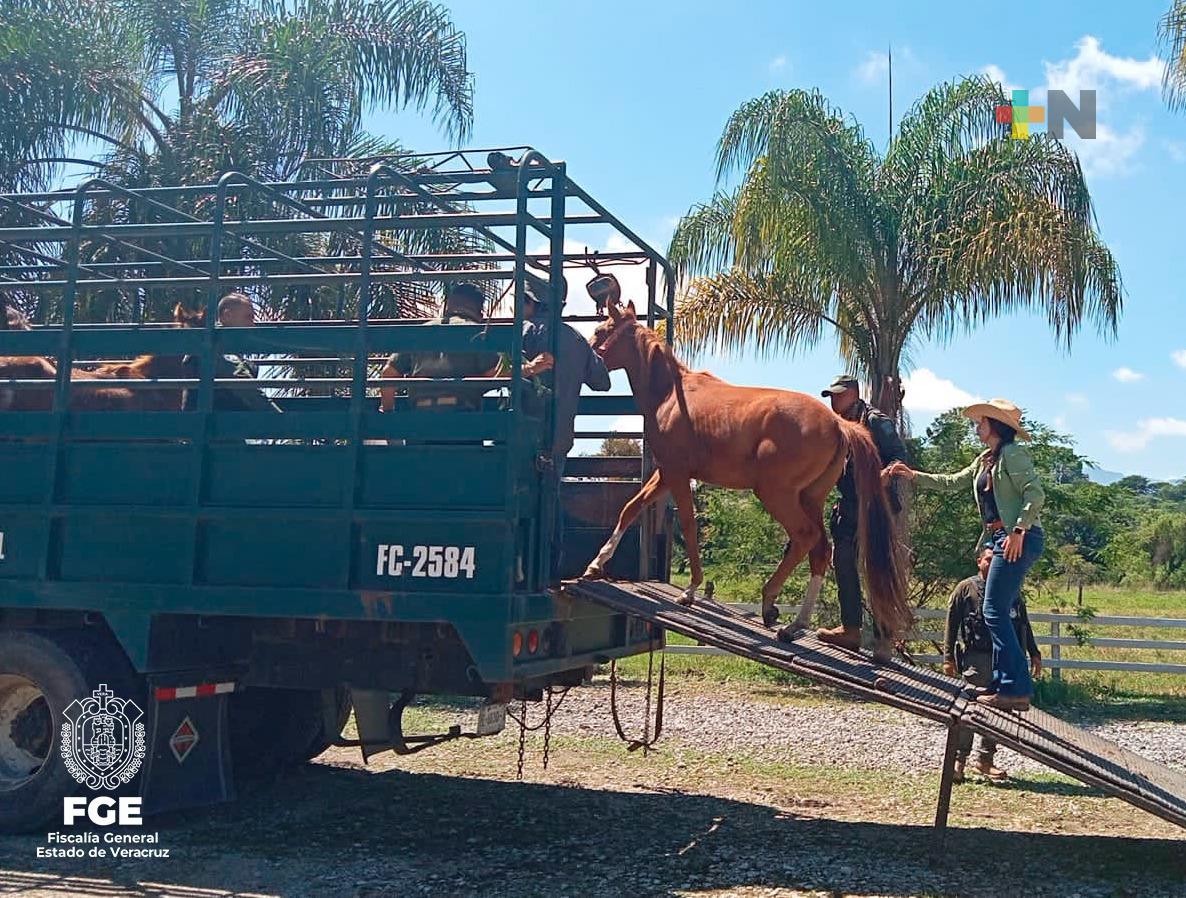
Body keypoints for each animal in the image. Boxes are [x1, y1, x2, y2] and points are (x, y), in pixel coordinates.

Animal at [581, 301, 906, 635]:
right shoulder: (664, 473)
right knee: (821, 549)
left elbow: (688, 525)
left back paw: (770, 602)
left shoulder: (678, 474)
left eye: (601, 330)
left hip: (776, 494)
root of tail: (839, 425)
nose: (588, 353)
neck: (671, 393)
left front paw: (690, 590)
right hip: (810, 498)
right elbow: (630, 509)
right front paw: (595, 565)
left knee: (805, 537)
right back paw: (795, 623)